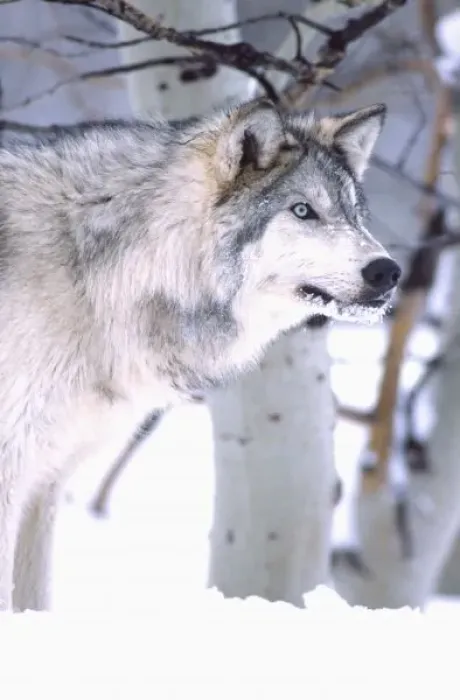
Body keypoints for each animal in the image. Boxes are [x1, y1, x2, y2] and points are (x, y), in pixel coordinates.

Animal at [0, 97, 400, 612]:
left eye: (354, 215)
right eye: (303, 210)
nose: (388, 271)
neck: (93, 275)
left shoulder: (45, 483)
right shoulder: (13, 472)